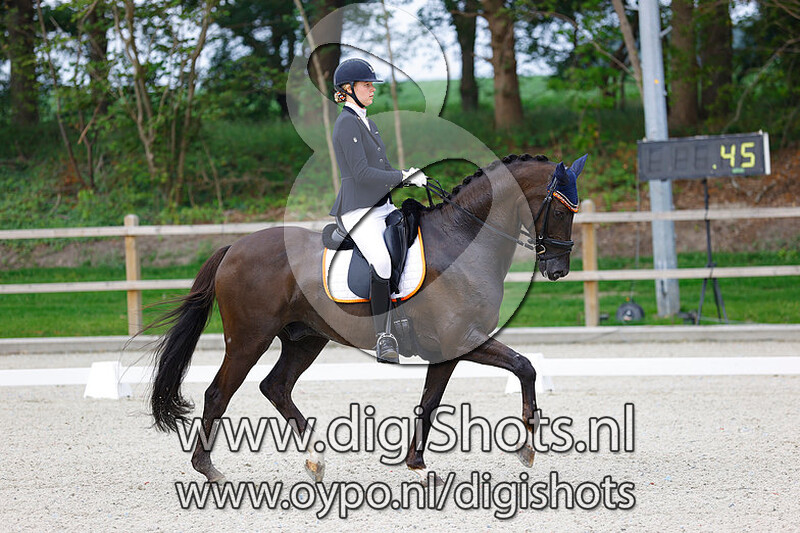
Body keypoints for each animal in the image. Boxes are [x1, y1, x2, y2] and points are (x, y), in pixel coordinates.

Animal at [149, 153, 586, 484]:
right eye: (561, 210)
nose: (558, 269)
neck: (463, 240)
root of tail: (234, 247)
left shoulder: (448, 347)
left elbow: (429, 402)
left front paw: (417, 465)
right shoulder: (462, 336)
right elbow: (525, 366)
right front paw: (526, 449)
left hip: (305, 337)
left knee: (276, 386)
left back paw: (316, 460)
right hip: (248, 338)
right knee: (218, 393)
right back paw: (210, 470)